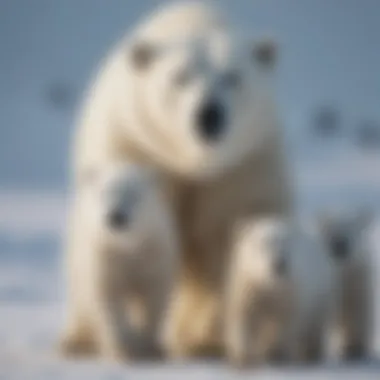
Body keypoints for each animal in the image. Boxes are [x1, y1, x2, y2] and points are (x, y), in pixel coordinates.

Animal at [59, 163, 178, 360]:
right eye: (104, 193)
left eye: (134, 195)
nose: (116, 217)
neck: (126, 247)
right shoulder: (103, 257)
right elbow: (108, 300)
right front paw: (124, 350)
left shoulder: (153, 254)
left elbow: (154, 296)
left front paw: (149, 348)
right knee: (81, 302)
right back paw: (72, 343)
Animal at [226, 218, 336, 366]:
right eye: (263, 245)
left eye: (286, 246)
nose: (279, 264)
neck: (270, 286)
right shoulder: (247, 287)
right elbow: (244, 317)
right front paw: (244, 357)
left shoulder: (290, 293)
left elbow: (285, 321)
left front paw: (275, 353)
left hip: (321, 294)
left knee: (315, 327)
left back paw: (310, 354)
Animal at [318, 208, 374, 360]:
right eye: (331, 230)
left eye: (352, 228)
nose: (340, 244)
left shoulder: (356, 279)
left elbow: (357, 311)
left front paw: (354, 348)